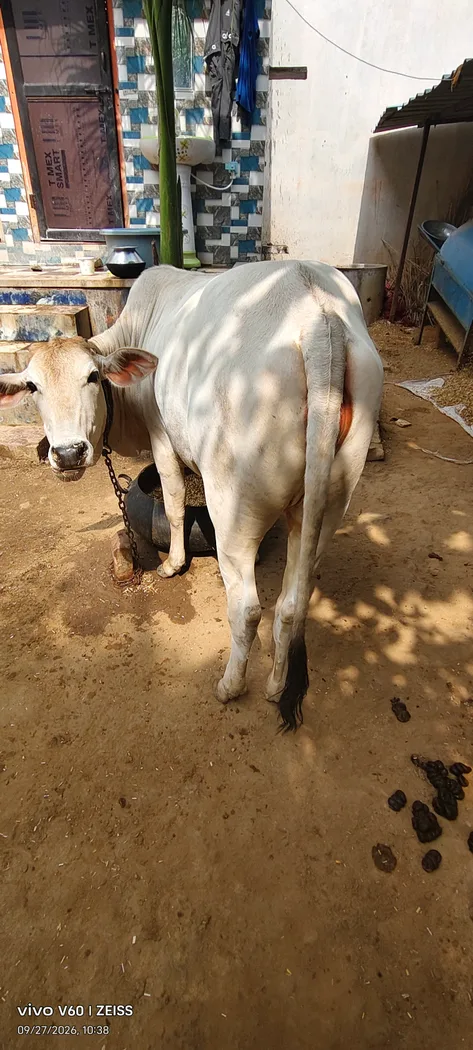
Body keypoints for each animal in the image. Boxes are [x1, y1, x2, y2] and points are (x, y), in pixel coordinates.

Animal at [0, 261, 383, 730]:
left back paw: (230, 685)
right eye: (33, 386)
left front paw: (173, 564)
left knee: (248, 609)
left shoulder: (161, 437)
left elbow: (174, 501)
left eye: (91, 376)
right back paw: (276, 686)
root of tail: (314, 312)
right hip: (326, 505)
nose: (68, 453)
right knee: (293, 604)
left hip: (234, 509)